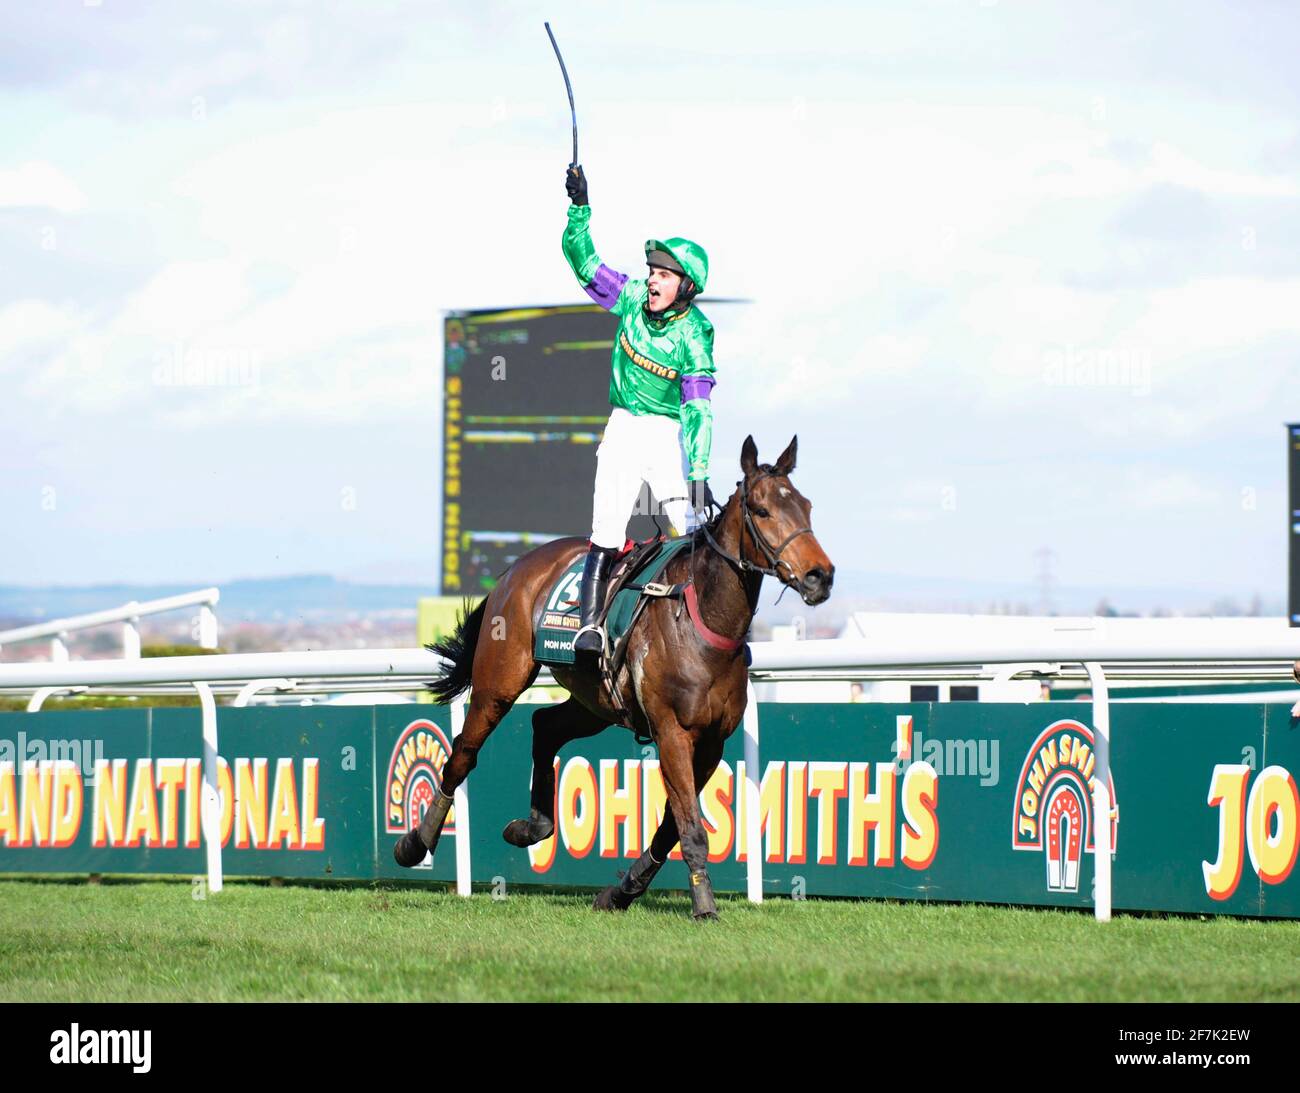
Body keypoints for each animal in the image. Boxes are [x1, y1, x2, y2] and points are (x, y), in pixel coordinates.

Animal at [390, 434, 832, 914]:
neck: (703, 620)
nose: (820, 576)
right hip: (500, 680)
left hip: (595, 702)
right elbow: (690, 826)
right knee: (463, 753)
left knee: (544, 725)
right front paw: (704, 905)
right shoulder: (672, 731)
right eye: (763, 509)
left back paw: (531, 826)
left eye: (807, 507)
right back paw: (415, 842)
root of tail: (515, 567)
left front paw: (622, 890)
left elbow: (672, 825)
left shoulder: (712, 740)